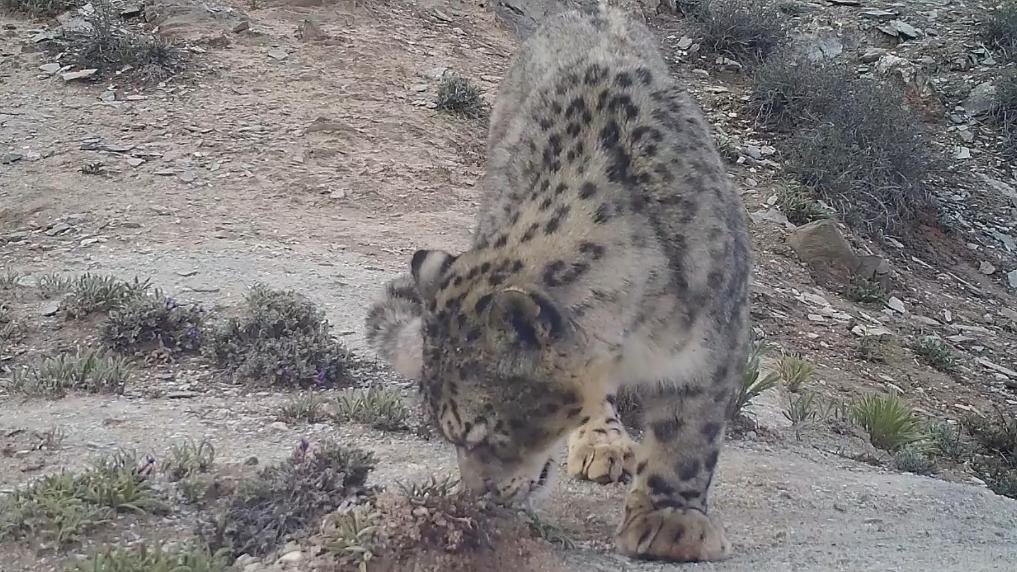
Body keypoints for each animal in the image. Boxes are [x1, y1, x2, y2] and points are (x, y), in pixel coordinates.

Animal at [364, 5, 750, 563]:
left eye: (486, 432)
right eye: (448, 434)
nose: (478, 498)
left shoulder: (714, 343)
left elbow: (687, 433)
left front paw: (670, 521)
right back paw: (601, 442)